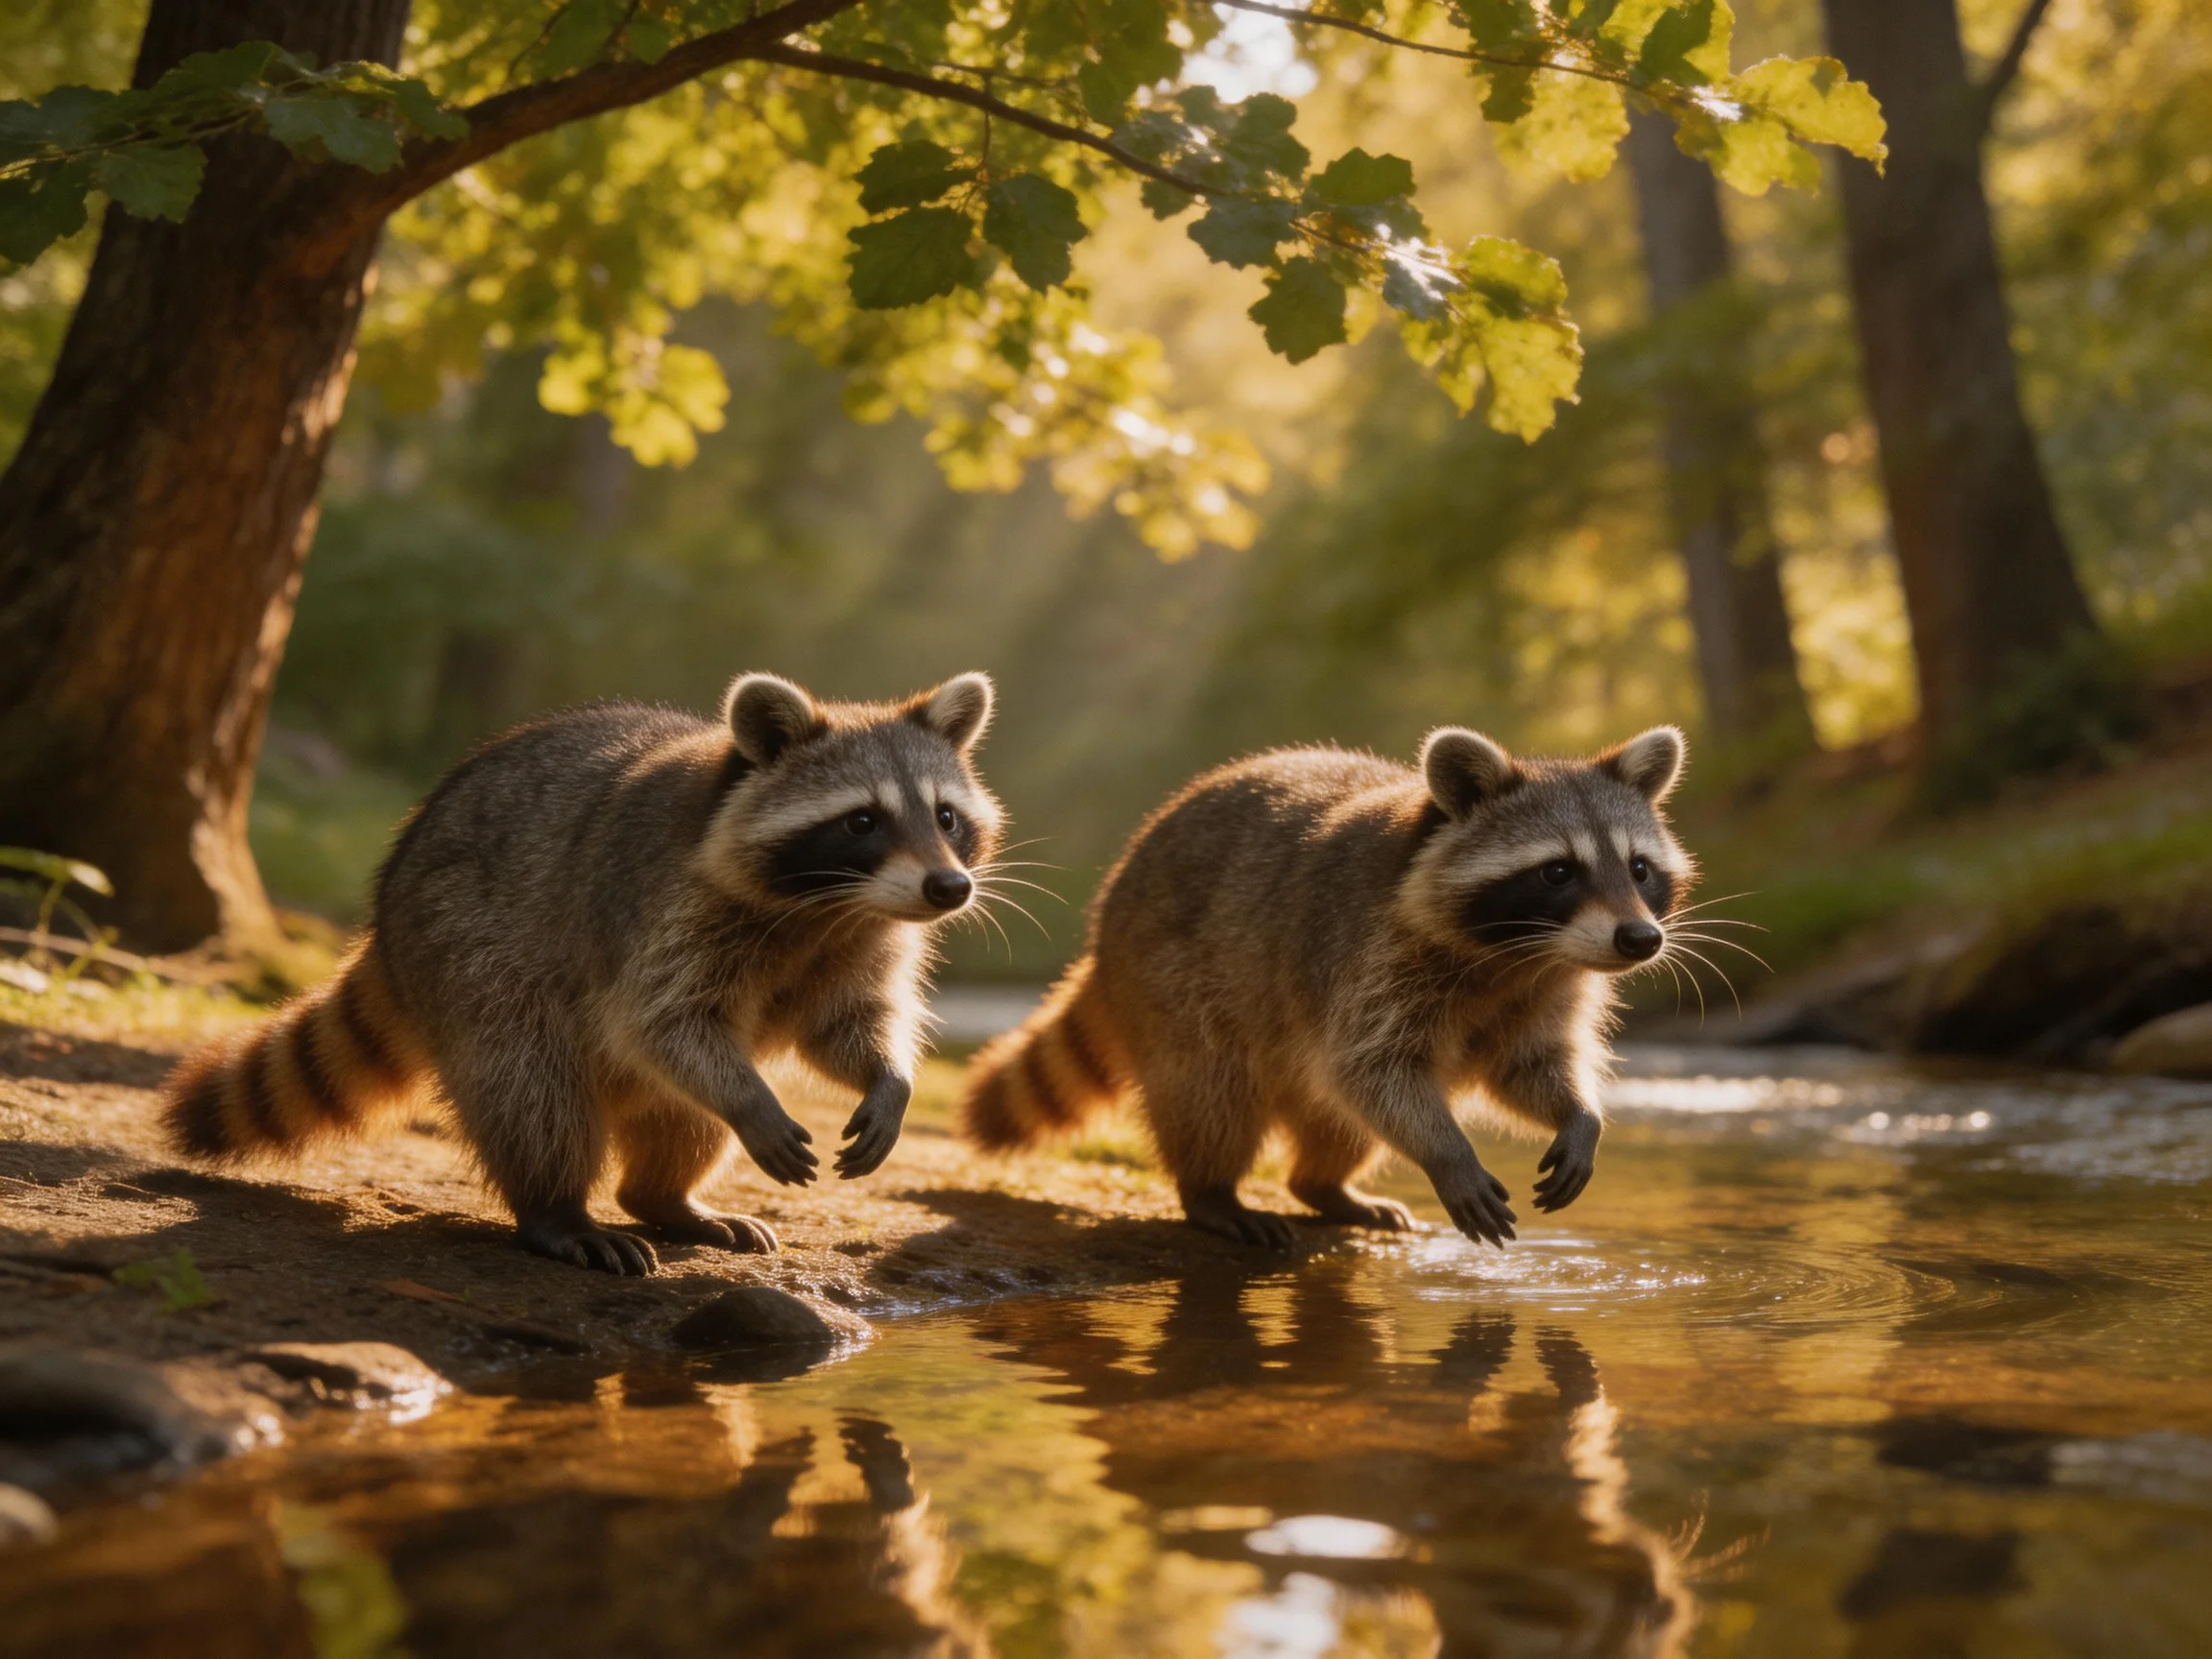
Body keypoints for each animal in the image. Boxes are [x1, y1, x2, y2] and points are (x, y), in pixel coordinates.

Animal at [163, 672, 1003, 1275]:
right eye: (863, 820)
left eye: (946, 817)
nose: (949, 888)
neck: (829, 907)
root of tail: (385, 925)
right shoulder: (657, 910)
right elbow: (660, 1020)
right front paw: (752, 1100)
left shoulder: (863, 941)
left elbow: (843, 1025)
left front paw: (889, 1080)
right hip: (469, 954)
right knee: (534, 1090)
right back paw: (558, 1210)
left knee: (681, 1117)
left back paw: (665, 1196)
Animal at [959, 725, 1691, 1248]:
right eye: (1558, 871)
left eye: (1640, 868)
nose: (1640, 939)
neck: (1519, 955)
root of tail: (1103, 933)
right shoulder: (1366, 960)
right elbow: (1372, 1069)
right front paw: (1448, 1151)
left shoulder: (1547, 990)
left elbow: (1526, 1066)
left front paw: (1581, 1115)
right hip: (1176, 983)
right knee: (1212, 1094)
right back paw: (1210, 1190)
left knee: (1335, 1123)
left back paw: (1322, 1184)